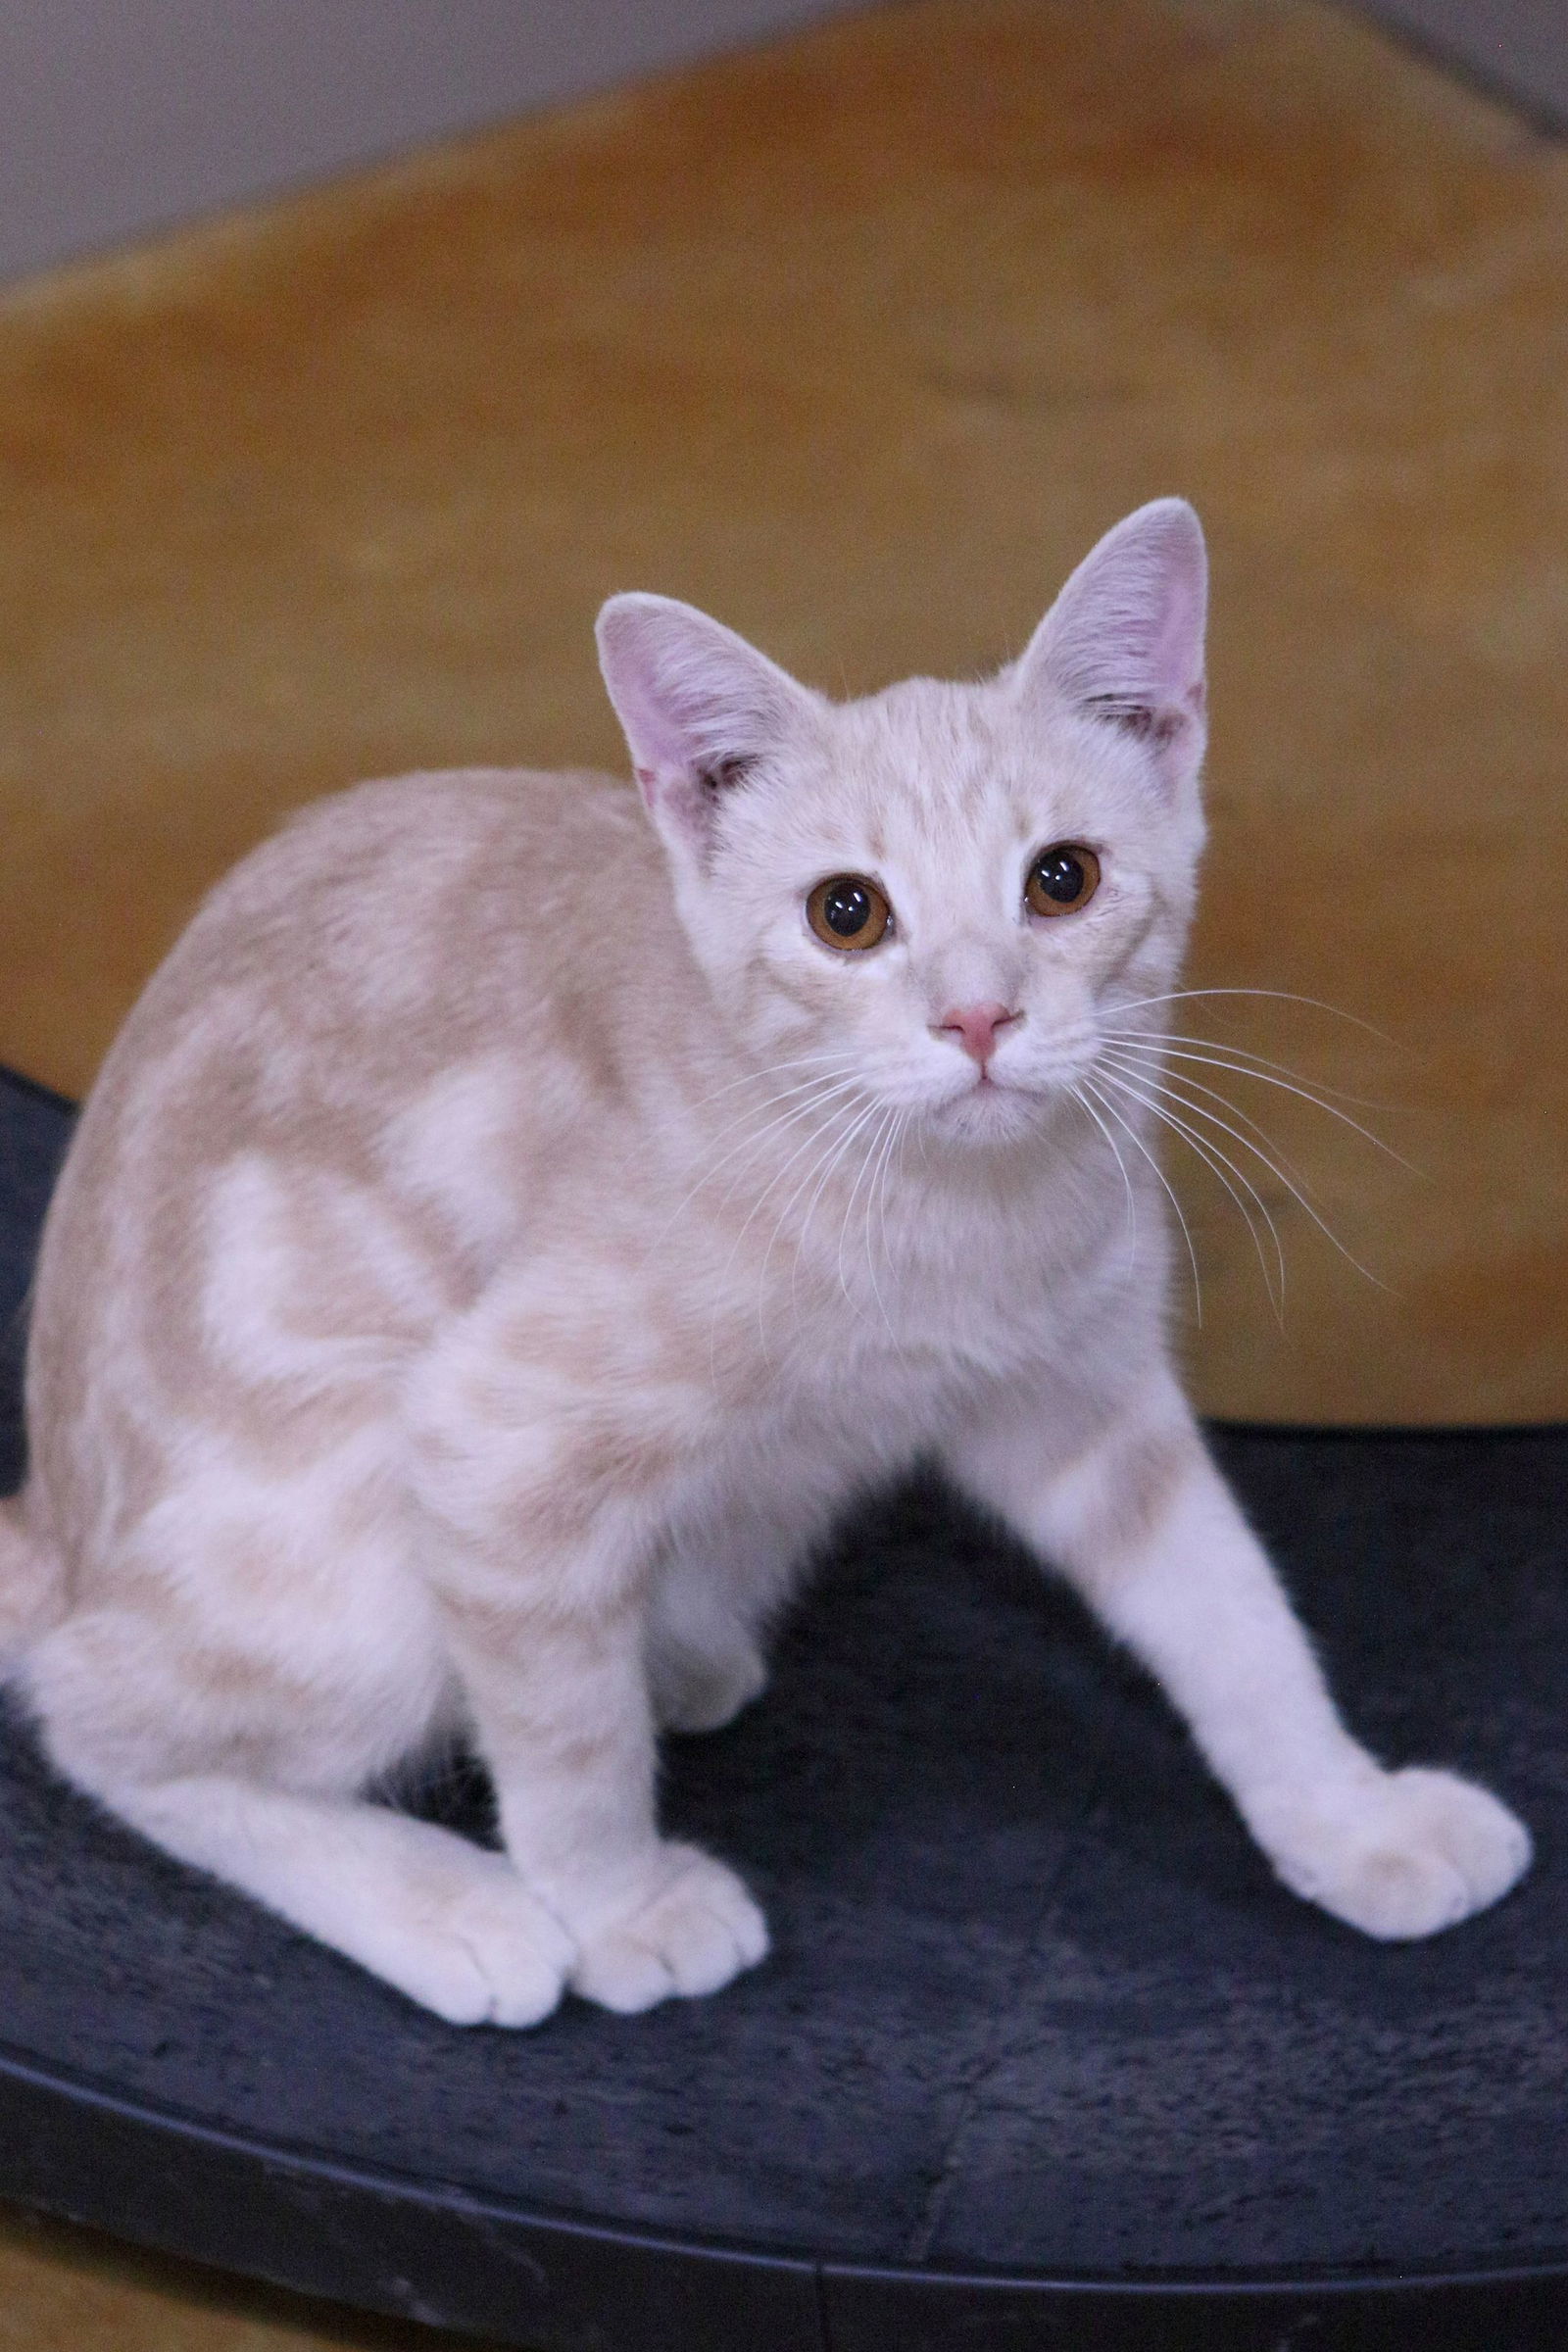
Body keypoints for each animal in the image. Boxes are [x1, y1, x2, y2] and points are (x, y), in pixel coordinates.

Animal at [0, 496, 1533, 2023]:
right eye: (845, 913)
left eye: (1062, 880)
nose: (978, 1018)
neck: (951, 1216)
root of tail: (59, 1531)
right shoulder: (492, 1440)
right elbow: (567, 1742)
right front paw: (617, 1905)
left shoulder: (1086, 1401)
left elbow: (1231, 1609)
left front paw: (1348, 1815)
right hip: (348, 1545)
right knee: (103, 1720)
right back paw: (447, 1904)